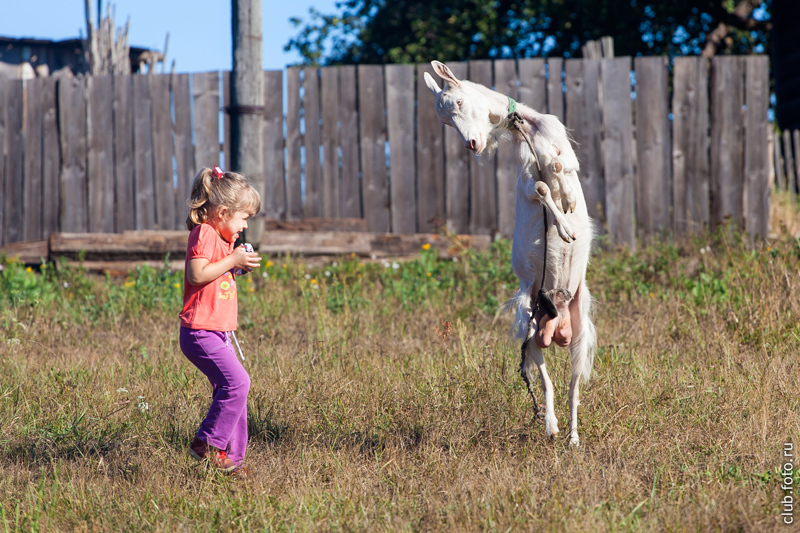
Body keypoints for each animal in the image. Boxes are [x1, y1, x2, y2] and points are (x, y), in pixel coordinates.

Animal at [424, 59, 592, 444]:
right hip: (529, 323)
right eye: (443, 119)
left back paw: (574, 436)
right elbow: (542, 185)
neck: (527, 128)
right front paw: (563, 227)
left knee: (574, 383)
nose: (472, 144)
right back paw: (552, 426)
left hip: (581, 323)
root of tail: (556, 319)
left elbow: (562, 166)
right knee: (544, 377)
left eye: (457, 102)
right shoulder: (527, 182)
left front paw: (569, 209)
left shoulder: (565, 150)